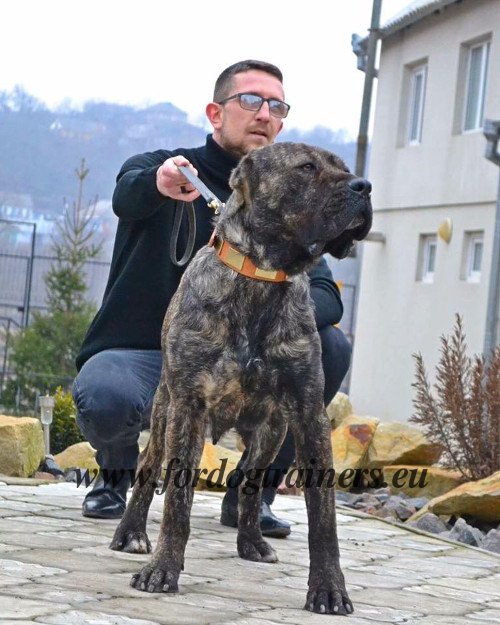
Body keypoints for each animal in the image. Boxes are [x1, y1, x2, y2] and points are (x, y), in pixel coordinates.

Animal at [110, 143, 376, 616]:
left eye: (345, 168)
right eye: (306, 167)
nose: (363, 187)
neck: (262, 277)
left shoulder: (308, 414)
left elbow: (323, 518)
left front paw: (328, 588)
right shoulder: (189, 407)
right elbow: (177, 502)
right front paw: (163, 569)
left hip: (271, 431)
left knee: (251, 485)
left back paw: (252, 541)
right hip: (163, 412)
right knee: (146, 467)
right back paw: (131, 533)